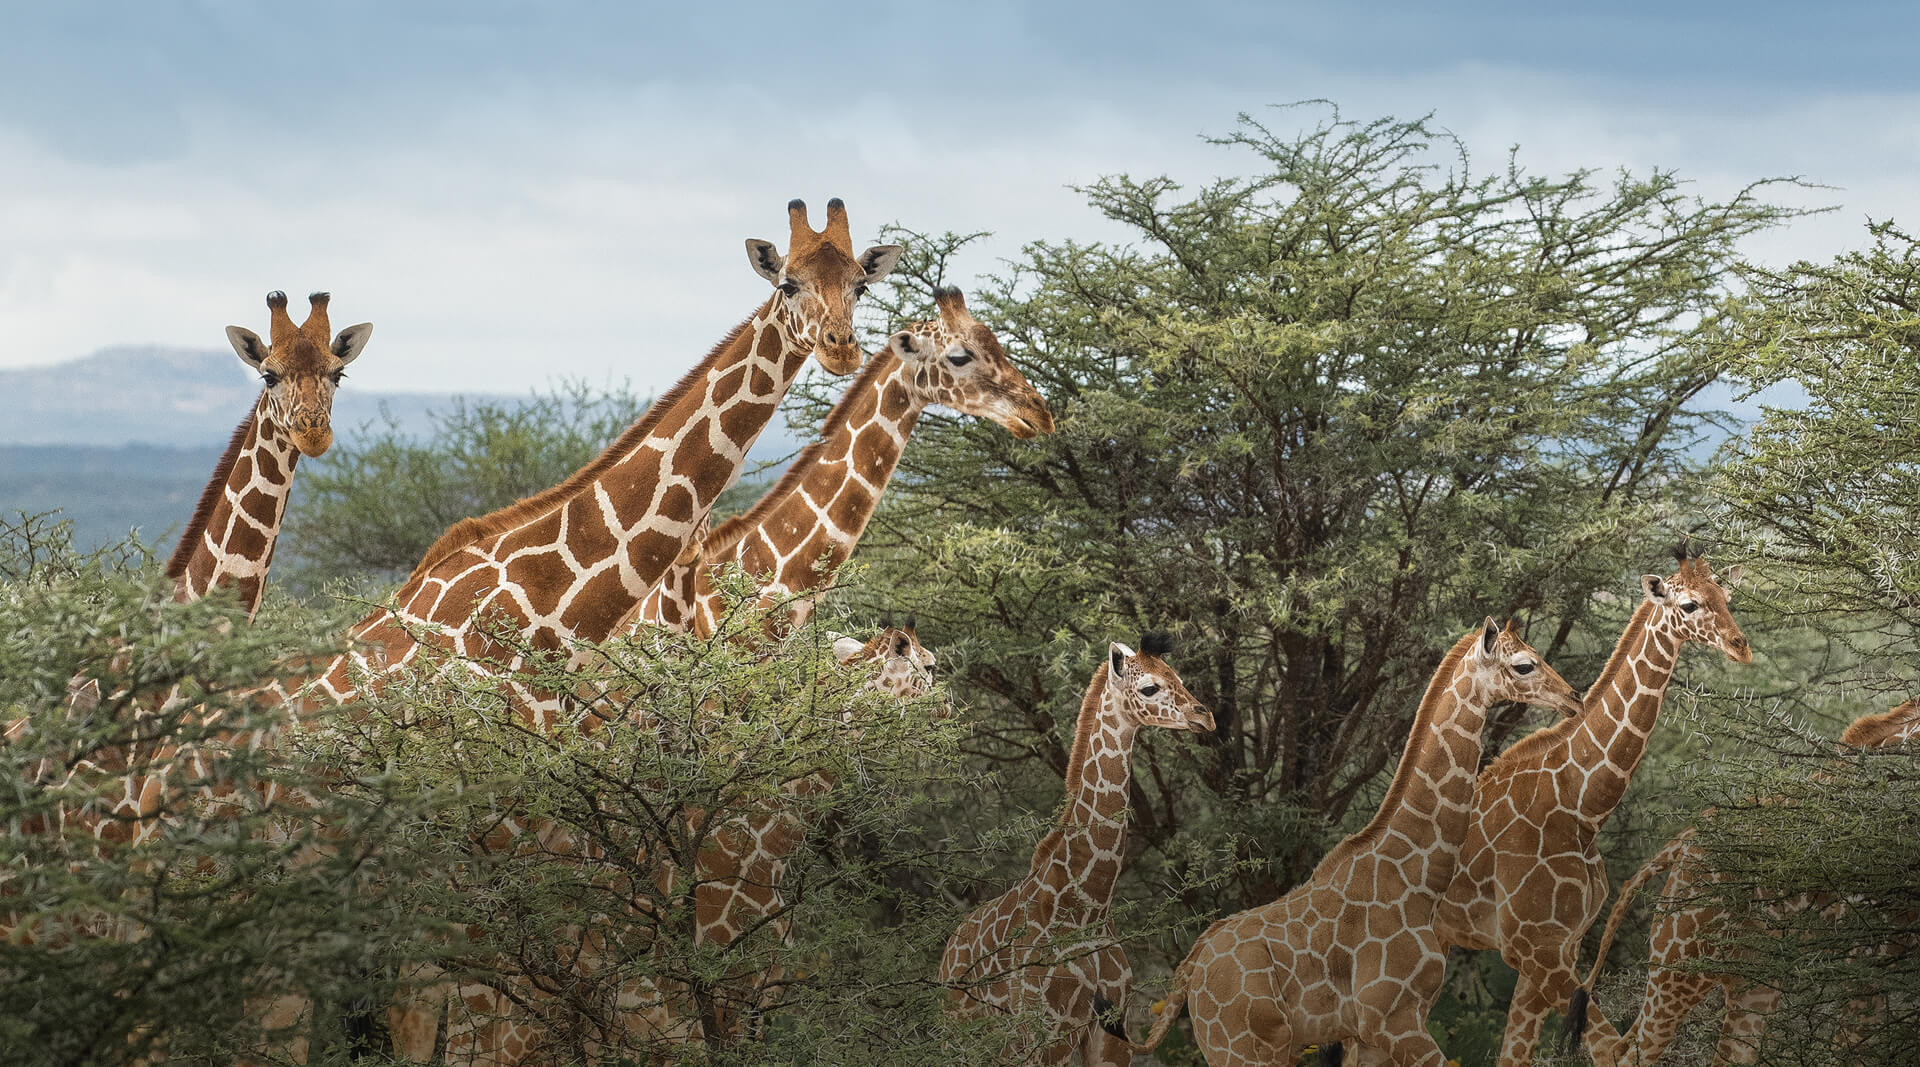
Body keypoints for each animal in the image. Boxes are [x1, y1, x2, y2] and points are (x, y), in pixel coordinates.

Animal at [939, 632, 1213, 1067]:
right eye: (1149, 687)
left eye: (1179, 678)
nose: (1206, 718)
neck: (1088, 906)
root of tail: (947, 954)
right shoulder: (1048, 1031)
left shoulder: (1111, 1032)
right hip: (963, 1039)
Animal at [1114, 619, 1584, 1066]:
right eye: (1524, 664)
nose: (1574, 698)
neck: (1418, 878)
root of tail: (1188, 971)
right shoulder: (1393, 1020)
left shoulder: (1374, 1034)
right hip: (1244, 1049)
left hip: (1237, 1049)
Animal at [1430, 547, 1752, 1067]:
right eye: (1688, 605)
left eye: (1727, 596)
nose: (1740, 646)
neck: (1580, 807)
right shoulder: (1532, 947)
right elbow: (1605, 1048)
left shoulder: (1561, 945)